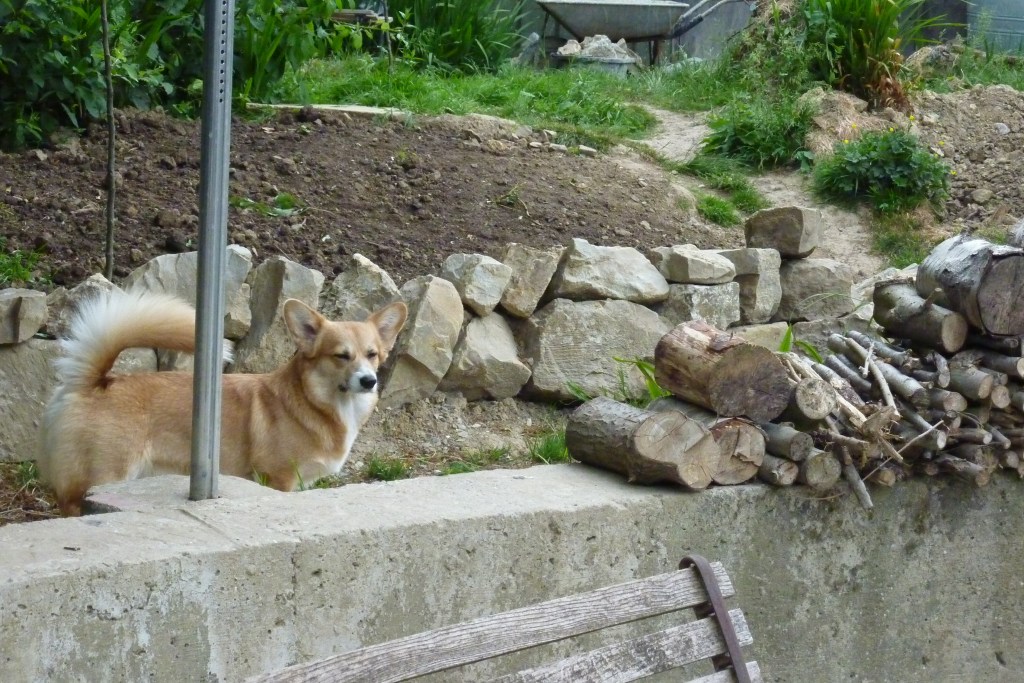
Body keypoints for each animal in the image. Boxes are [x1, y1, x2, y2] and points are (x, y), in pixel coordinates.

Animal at [38, 288, 407, 516]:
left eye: (372, 355)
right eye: (340, 356)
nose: (369, 381)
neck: (315, 401)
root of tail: (93, 382)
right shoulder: (279, 479)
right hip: (104, 476)